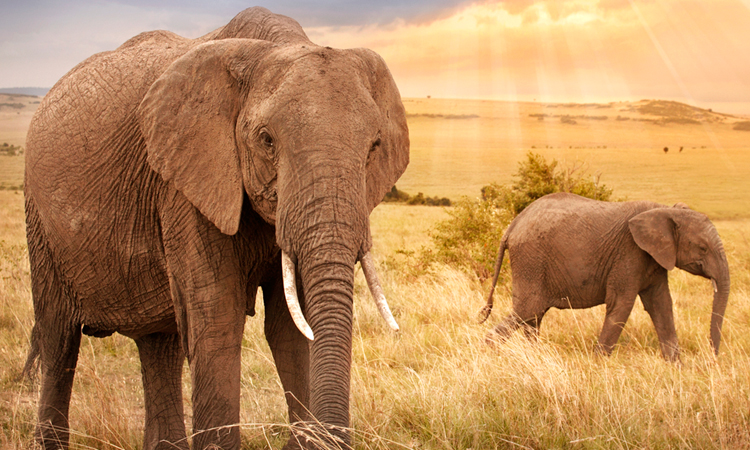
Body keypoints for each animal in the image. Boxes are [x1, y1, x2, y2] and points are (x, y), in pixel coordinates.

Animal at [22, 7, 408, 450]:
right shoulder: (185, 181)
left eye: (375, 146)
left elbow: (292, 329)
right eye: (266, 140)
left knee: (160, 342)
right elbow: (218, 316)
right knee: (58, 339)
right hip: (39, 218)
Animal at [479, 193, 730, 361]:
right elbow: (622, 304)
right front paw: (599, 365)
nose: (713, 359)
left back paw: (535, 357)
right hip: (531, 259)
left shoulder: (654, 259)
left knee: (532, 316)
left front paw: (675, 366)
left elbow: (661, 305)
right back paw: (491, 350)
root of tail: (511, 227)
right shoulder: (629, 253)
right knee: (528, 310)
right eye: (702, 248)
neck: (665, 210)